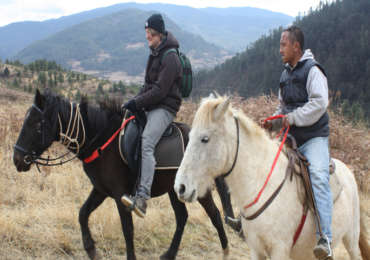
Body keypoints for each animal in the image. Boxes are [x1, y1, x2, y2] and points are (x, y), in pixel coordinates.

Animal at [12, 89, 237, 260]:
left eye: (37, 125)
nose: (17, 159)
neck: (99, 139)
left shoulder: (121, 195)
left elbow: (127, 229)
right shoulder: (101, 190)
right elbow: (83, 214)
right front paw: (91, 250)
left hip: (198, 190)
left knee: (215, 215)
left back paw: (226, 250)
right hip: (176, 191)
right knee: (182, 218)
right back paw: (169, 254)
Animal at [174, 96, 370, 260]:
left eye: (205, 139)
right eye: (189, 136)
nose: (180, 187)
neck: (261, 183)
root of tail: (348, 171)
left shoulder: (279, 249)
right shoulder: (256, 250)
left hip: (351, 239)